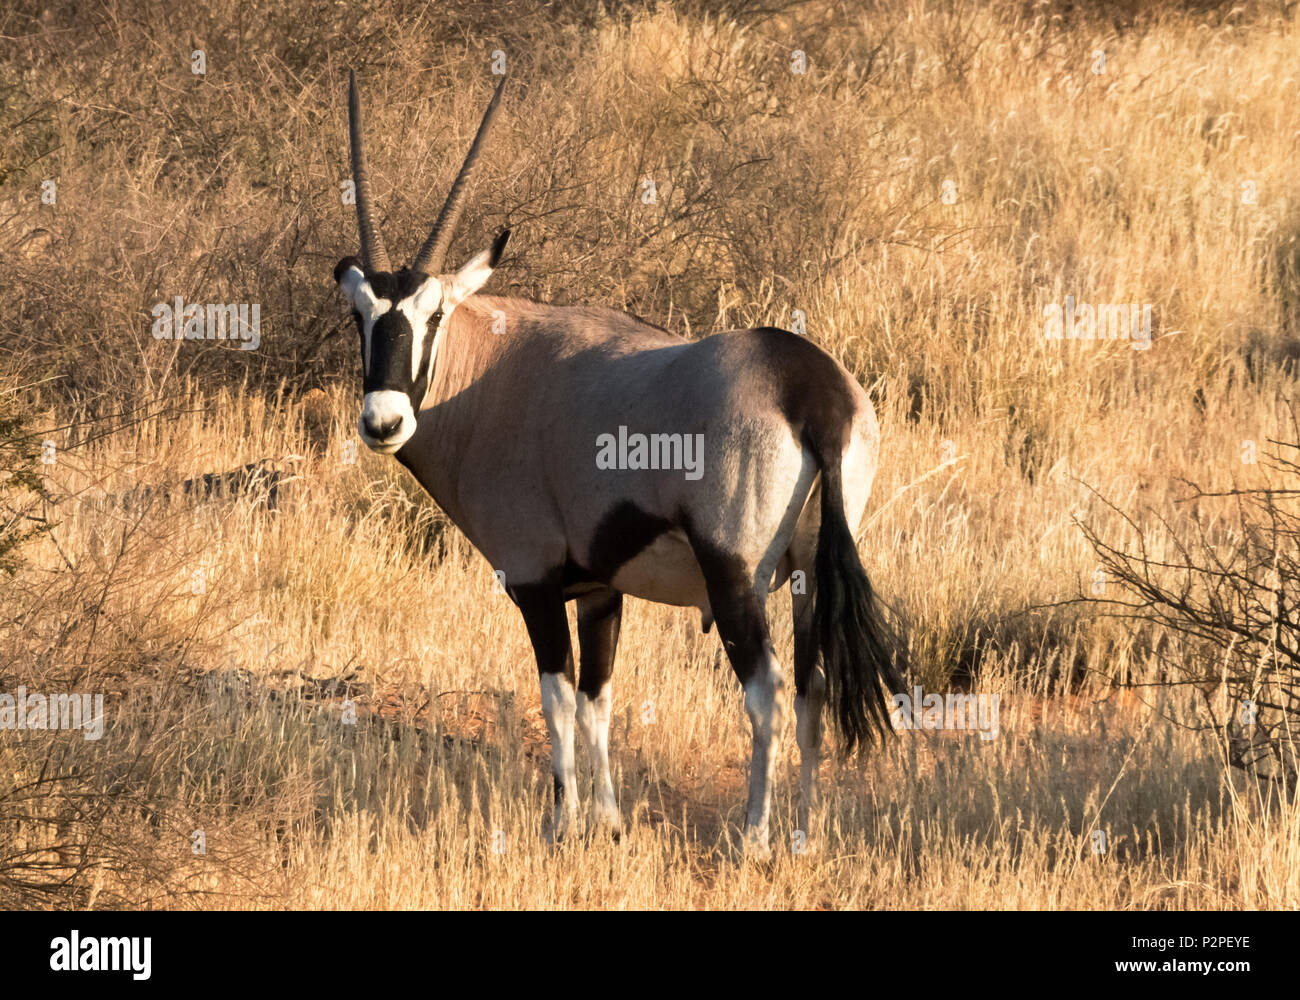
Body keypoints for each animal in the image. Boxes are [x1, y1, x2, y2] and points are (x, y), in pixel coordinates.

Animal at [335, 72, 904, 853]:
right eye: (360, 316)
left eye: (434, 315)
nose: (383, 422)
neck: (494, 371)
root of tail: (809, 387)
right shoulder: (601, 590)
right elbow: (597, 702)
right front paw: (607, 821)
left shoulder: (537, 584)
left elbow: (556, 701)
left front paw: (561, 823)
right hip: (808, 575)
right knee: (812, 692)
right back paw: (802, 834)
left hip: (736, 578)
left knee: (768, 696)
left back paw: (754, 837)